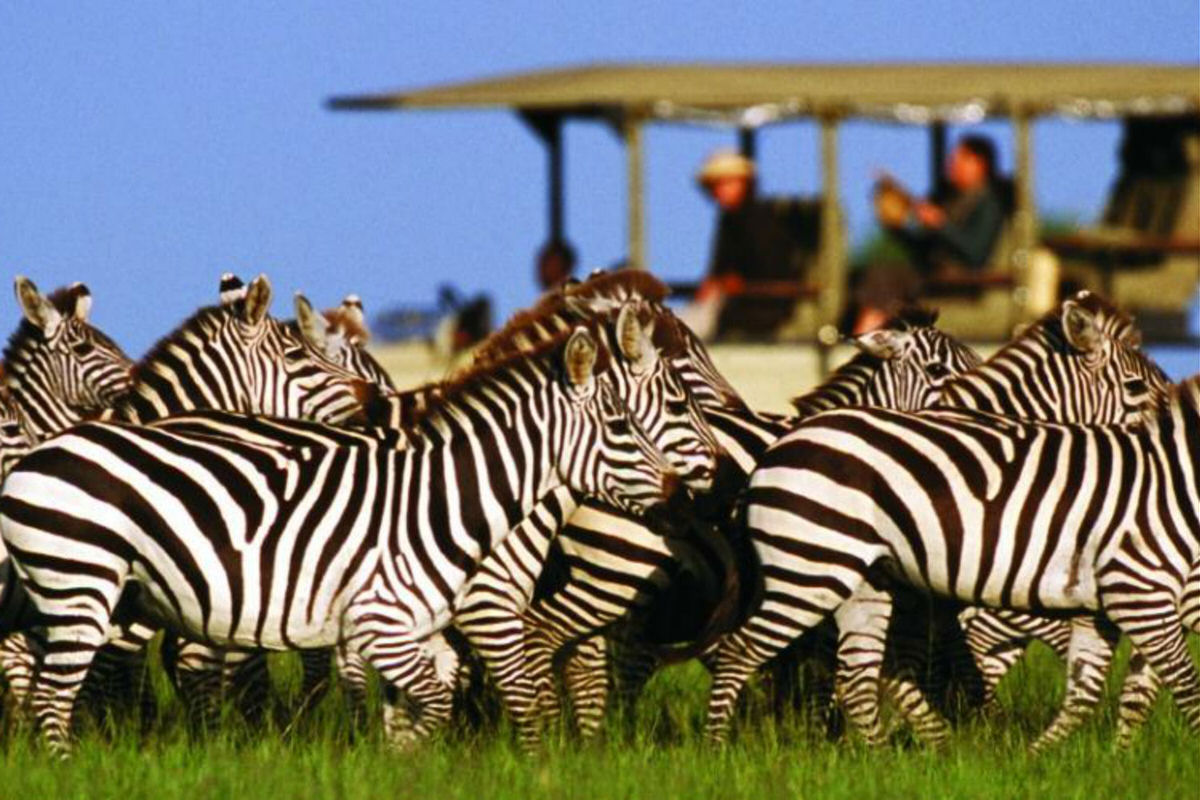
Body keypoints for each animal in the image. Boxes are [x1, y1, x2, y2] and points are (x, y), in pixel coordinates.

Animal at [0, 321, 676, 758]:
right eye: (622, 425)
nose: (677, 491)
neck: (441, 503)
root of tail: (37, 454)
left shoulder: (417, 632)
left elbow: (417, 708)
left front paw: (402, 768)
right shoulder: (380, 624)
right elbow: (433, 704)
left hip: (53, 599)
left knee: (40, 685)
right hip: (82, 587)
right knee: (53, 698)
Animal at [700, 376, 1200, 753]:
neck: (1172, 488)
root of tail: (777, 447)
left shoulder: (1108, 606)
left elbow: (1101, 693)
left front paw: (1072, 760)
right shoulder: (1137, 591)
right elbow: (1184, 682)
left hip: (864, 580)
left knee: (857, 675)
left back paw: (888, 762)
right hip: (811, 570)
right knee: (739, 651)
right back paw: (716, 746)